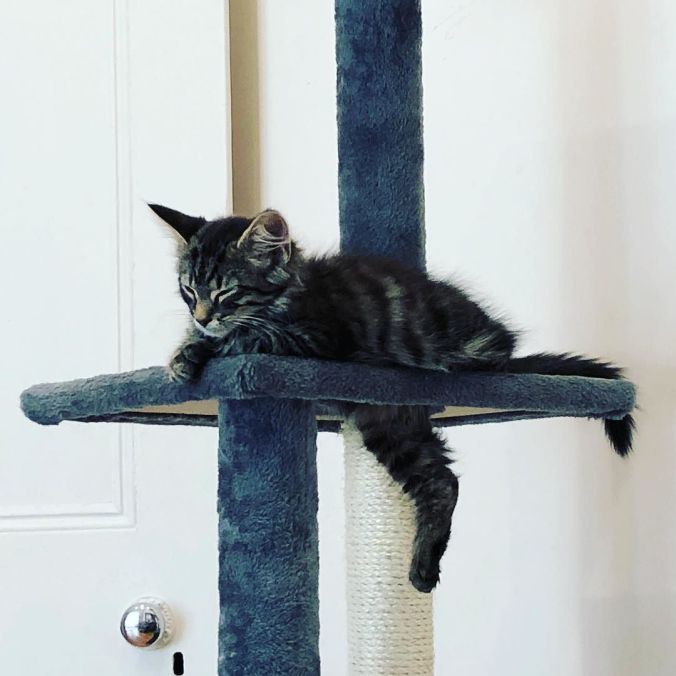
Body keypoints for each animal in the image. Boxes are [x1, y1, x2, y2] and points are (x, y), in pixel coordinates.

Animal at [150, 203, 635, 593]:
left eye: (226, 293)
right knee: (442, 481)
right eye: (188, 291)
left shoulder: (314, 340)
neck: (291, 293)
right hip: (389, 426)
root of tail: (504, 353)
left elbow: (248, 338)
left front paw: (203, 348)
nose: (202, 316)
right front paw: (184, 352)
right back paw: (423, 569)